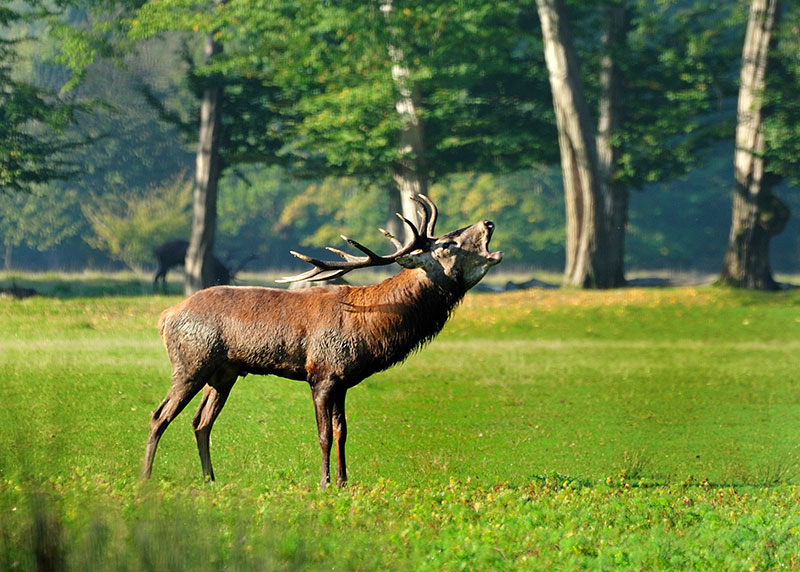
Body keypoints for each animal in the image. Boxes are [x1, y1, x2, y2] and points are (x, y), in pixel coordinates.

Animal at [142, 195, 502, 488]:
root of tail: (165, 317)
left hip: (223, 373)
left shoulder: (343, 380)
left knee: (201, 422)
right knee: (160, 415)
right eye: (447, 244)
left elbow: (343, 432)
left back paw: (210, 478)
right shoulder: (321, 374)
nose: (488, 222)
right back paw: (146, 477)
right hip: (191, 363)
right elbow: (325, 434)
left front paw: (344, 481)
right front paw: (325, 482)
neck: (370, 329)